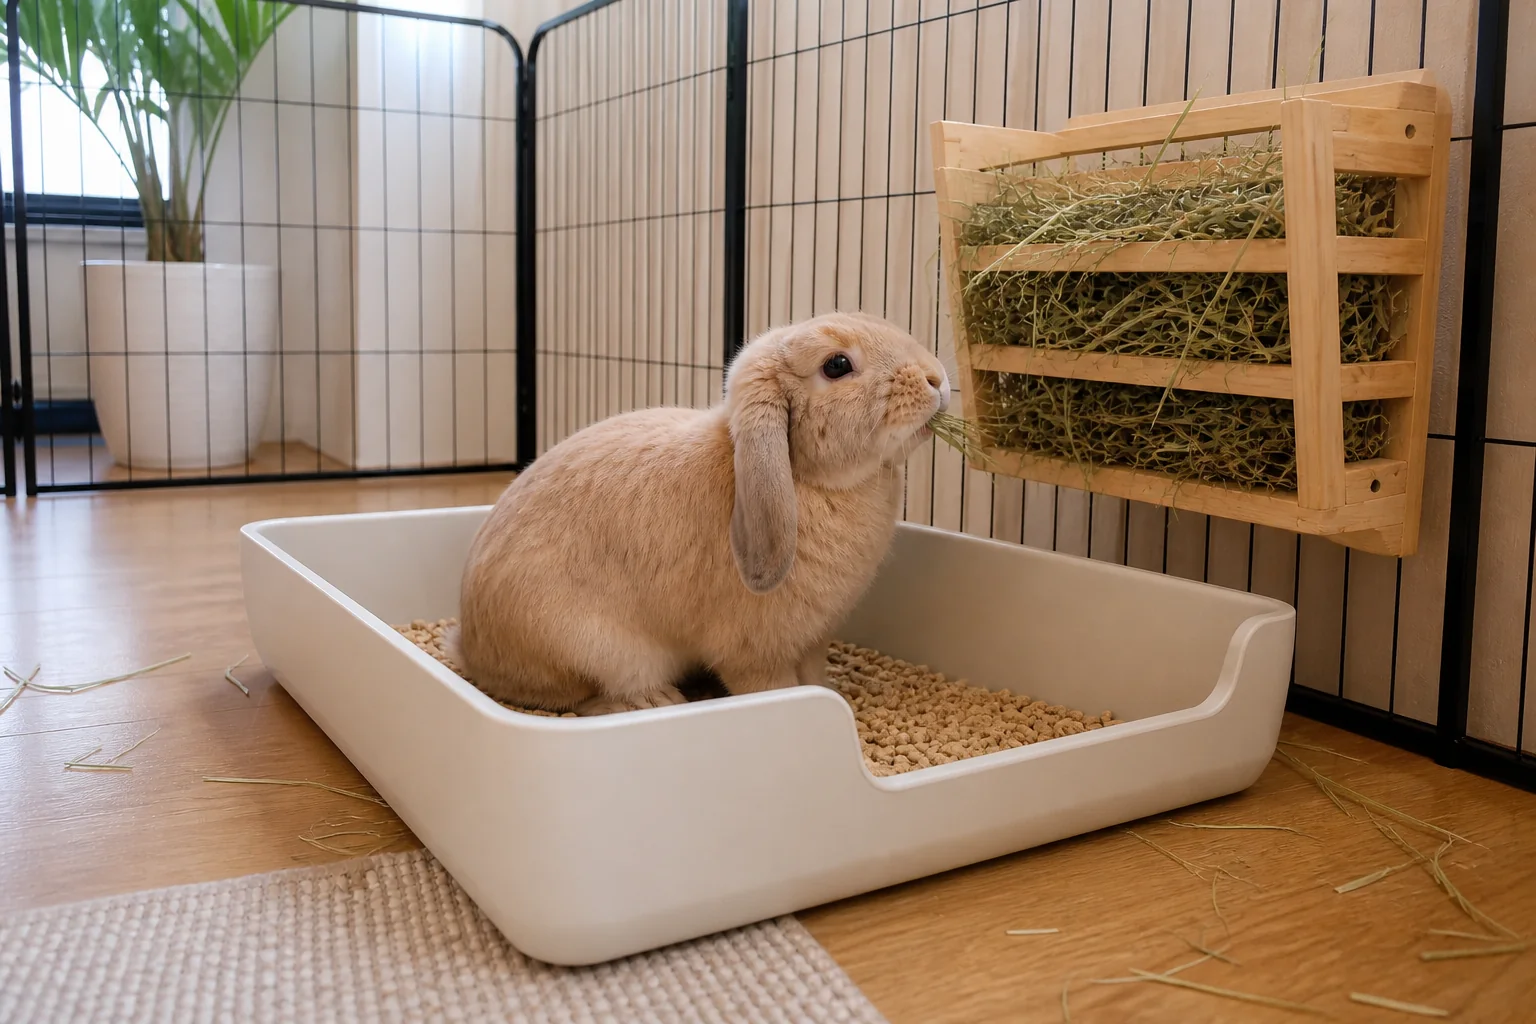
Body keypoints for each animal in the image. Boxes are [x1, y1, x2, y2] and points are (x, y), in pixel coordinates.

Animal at [454, 311, 950, 715]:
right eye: (837, 365)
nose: (937, 378)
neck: (801, 477)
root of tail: (470, 651)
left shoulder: (813, 639)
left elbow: (814, 676)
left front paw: (832, 693)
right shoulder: (755, 654)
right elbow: (774, 687)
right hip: (590, 649)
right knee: (580, 699)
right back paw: (653, 700)